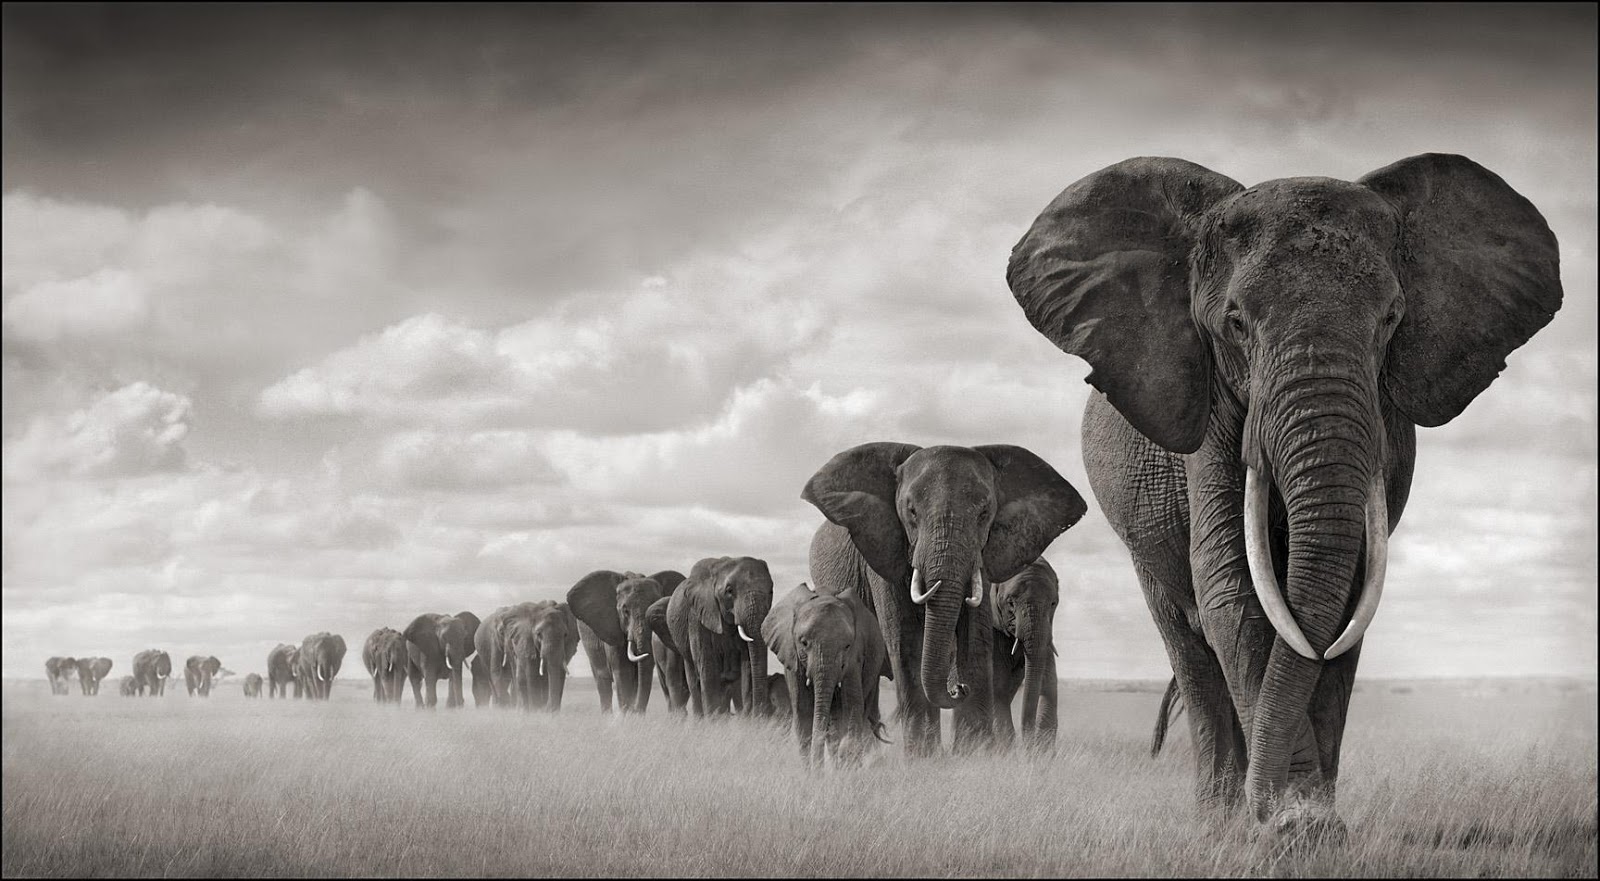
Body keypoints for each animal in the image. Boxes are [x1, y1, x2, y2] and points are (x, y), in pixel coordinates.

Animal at [567, 569, 686, 714]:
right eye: (625, 611)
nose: (636, 711)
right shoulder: (612, 629)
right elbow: (623, 673)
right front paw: (627, 715)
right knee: (603, 682)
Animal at [663, 556, 775, 718]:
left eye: (771, 591)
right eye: (729, 591)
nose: (759, 716)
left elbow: (747, 666)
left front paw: (746, 721)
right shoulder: (698, 616)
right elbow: (707, 666)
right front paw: (713, 722)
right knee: (694, 680)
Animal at [762, 581, 893, 767]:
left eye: (847, 646)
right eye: (803, 643)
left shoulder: (855, 655)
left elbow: (851, 706)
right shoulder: (792, 655)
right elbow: (803, 711)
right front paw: (812, 771)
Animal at [989, 558, 1061, 751]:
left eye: (1053, 603)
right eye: (1010, 603)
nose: (1027, 746)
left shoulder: (1046, 635)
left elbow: (1049, 686)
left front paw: (1040, 754)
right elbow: (997, 690)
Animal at [1006, 153, 1562, 833]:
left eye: (1391, 320)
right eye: (1236, 323)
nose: (1275, 811)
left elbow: (1349, 597)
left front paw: (1309, 824)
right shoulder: (1211, 411)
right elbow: (1233, 590)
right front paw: (1291, 827)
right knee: (1189, 644)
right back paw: (1218, 820)